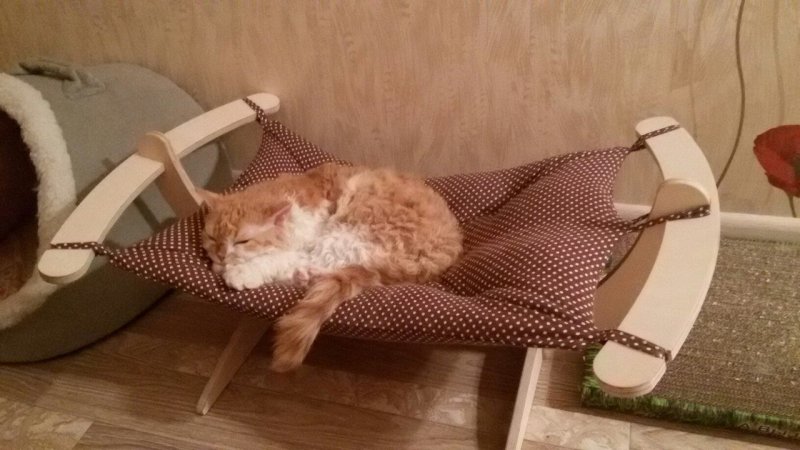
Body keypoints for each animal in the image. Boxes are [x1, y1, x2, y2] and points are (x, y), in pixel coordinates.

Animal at [198, 163, 463, 372]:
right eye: (211, 237)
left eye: (242, 241)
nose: (221, 256)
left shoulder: (312, 238)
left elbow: (278, 258)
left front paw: (241, 271)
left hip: (353, 228)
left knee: (321, 264)